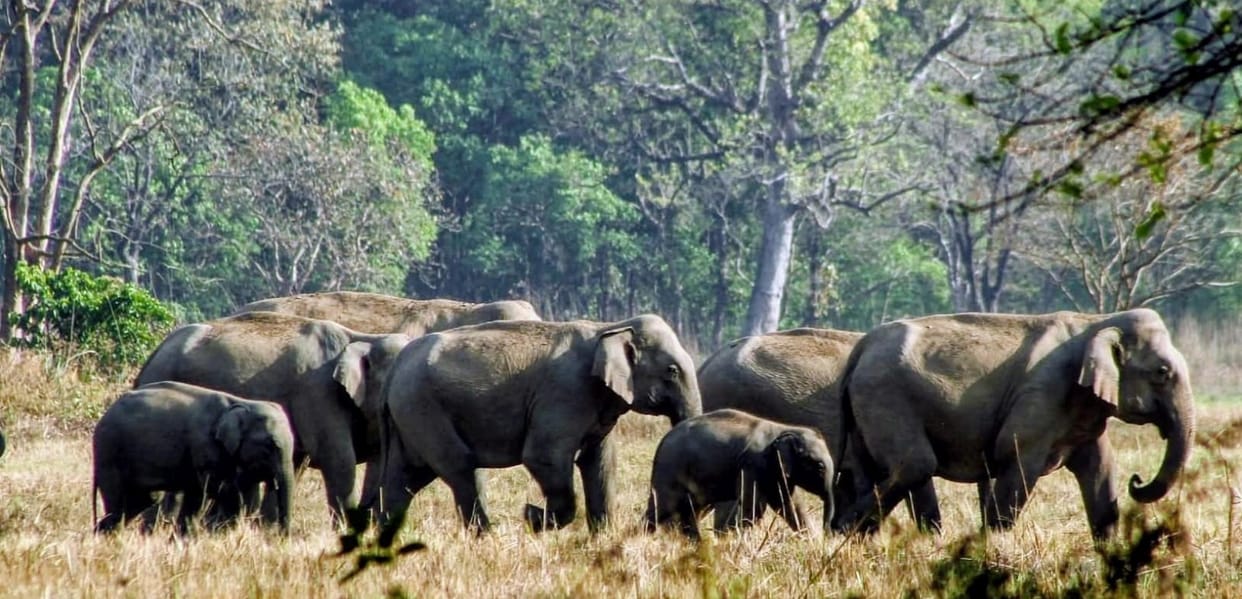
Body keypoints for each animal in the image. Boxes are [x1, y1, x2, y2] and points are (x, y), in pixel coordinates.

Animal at [93, 381, 296, 535]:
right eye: (271, 444)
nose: (281, 538)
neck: (242, 403)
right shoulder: (204, 446)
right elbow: (213, 491)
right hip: (109, 452)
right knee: (118, 503)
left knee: (140, 501)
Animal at [366, 314, 702, 535]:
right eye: (672, 371)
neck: (608, 328)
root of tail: (395, 369)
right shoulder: (565, 393)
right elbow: (543, 456)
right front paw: (531, 517)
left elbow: (600, 463)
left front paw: (602, 540)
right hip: (424, 409)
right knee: (458, 466)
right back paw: (486, 537)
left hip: (408, 417)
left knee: (404, 478)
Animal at [643, 409, 834, 540]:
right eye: (819, 466)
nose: (827, 536)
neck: (784, 429)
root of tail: (663, 440)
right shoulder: (752, 464)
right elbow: (754, 507)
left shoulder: (775, 471)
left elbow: (790, 504)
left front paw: (811, 541)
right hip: (670, 471)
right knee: (662, 508)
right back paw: (644, 537)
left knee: (690, 512)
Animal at [834, 309, 1196, 539]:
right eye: (1162, 372)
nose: (1137, 481)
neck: (1096, 321)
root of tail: (860, 348)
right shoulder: (1043, 395)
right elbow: (1017, 458)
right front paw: (990, 546)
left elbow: (1099, 466)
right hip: (886, 397)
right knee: (916, 465)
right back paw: (843, 533)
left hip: (865, 411)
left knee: (877, 472)